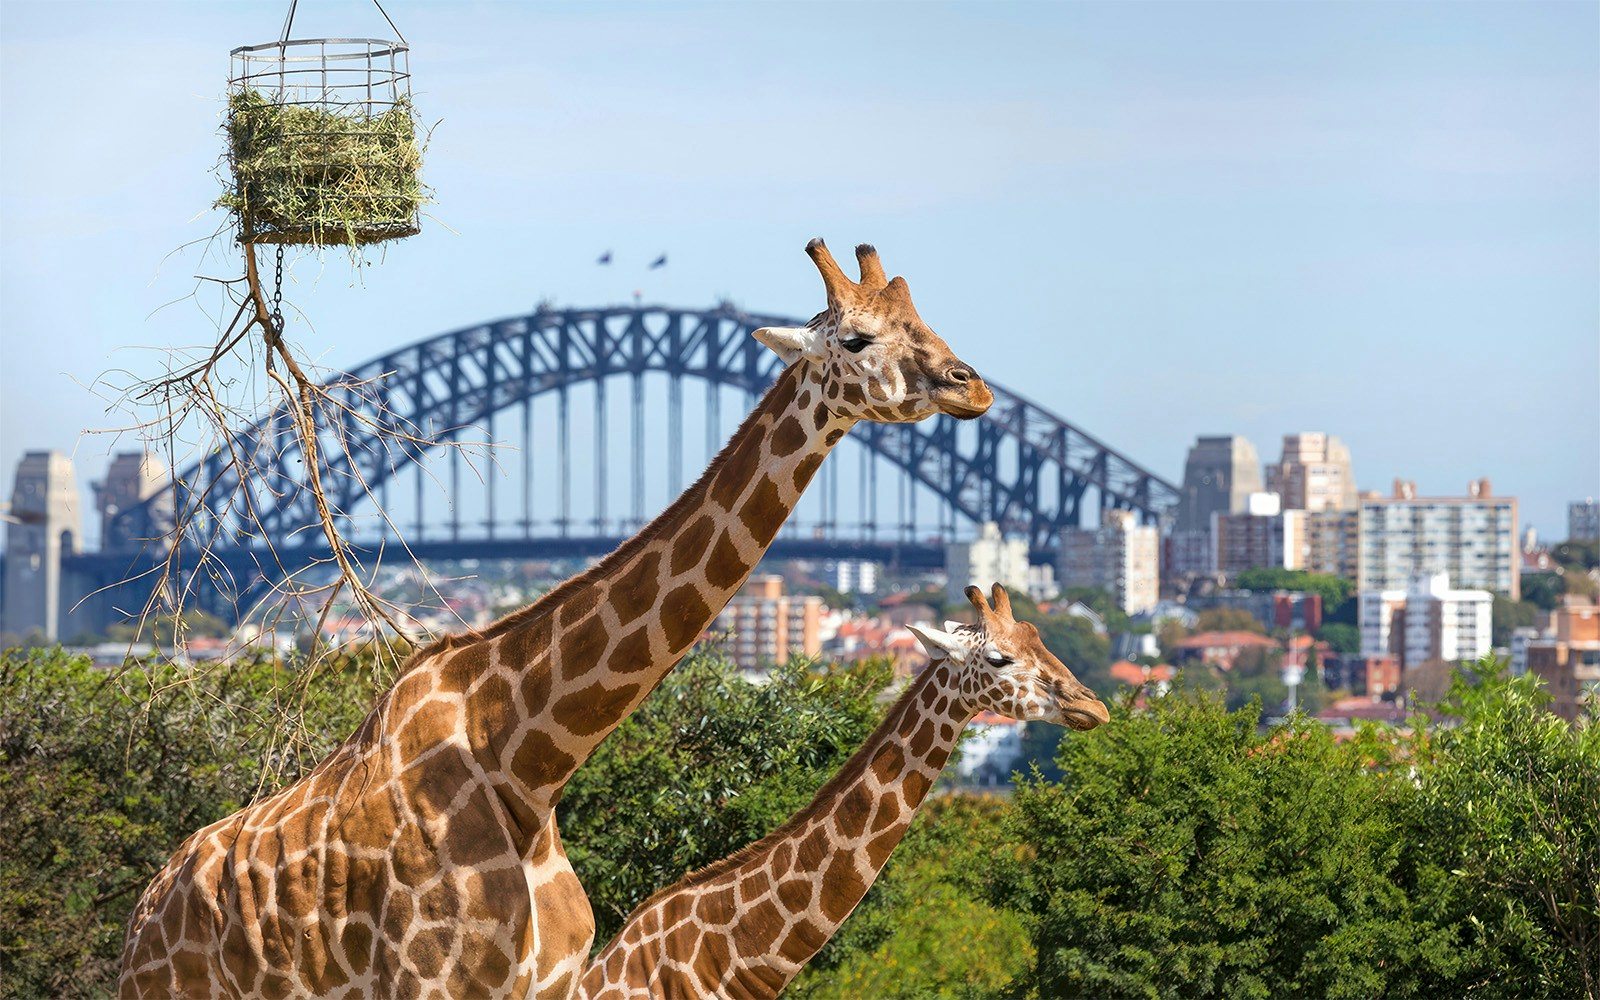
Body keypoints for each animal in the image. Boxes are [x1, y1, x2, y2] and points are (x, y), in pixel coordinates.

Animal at [118, 238, 992, 992]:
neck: (529, 763)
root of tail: (146, 905)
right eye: (855, 336)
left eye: (923, 318)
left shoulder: (552, 982)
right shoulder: (430, 983)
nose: (971, 384)